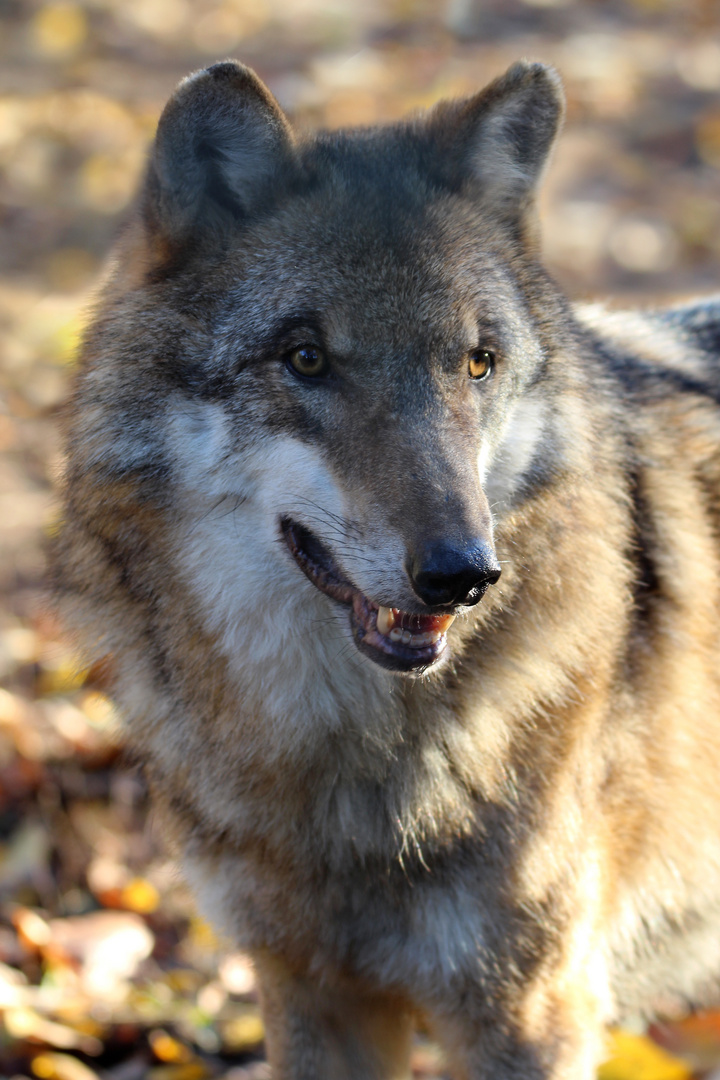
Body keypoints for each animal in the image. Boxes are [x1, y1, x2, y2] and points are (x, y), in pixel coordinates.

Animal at [52, 59, 720, 1080]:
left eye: (478, 363)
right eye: (306, 358)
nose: (463, 574)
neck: (343, 767)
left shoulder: (528, 1014)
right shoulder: (310, 992)